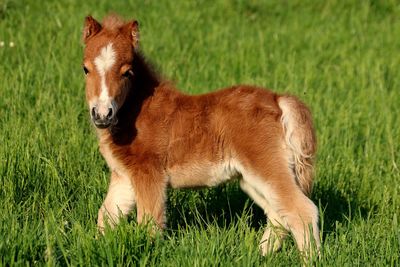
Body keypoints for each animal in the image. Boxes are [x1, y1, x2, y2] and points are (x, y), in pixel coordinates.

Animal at [82, 14, 322, 258]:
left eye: (127, 72)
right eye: (85, 69)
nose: (102, 114)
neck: (138, 111)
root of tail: (278, 100)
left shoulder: (149, 175)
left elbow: (150, 222)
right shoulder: (124, 177)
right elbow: (107, 215)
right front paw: (95, 249)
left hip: (267, 167)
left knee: (302, 210)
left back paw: (310, 259)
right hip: (250, 179)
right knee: (278, 215)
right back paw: (257, 255)